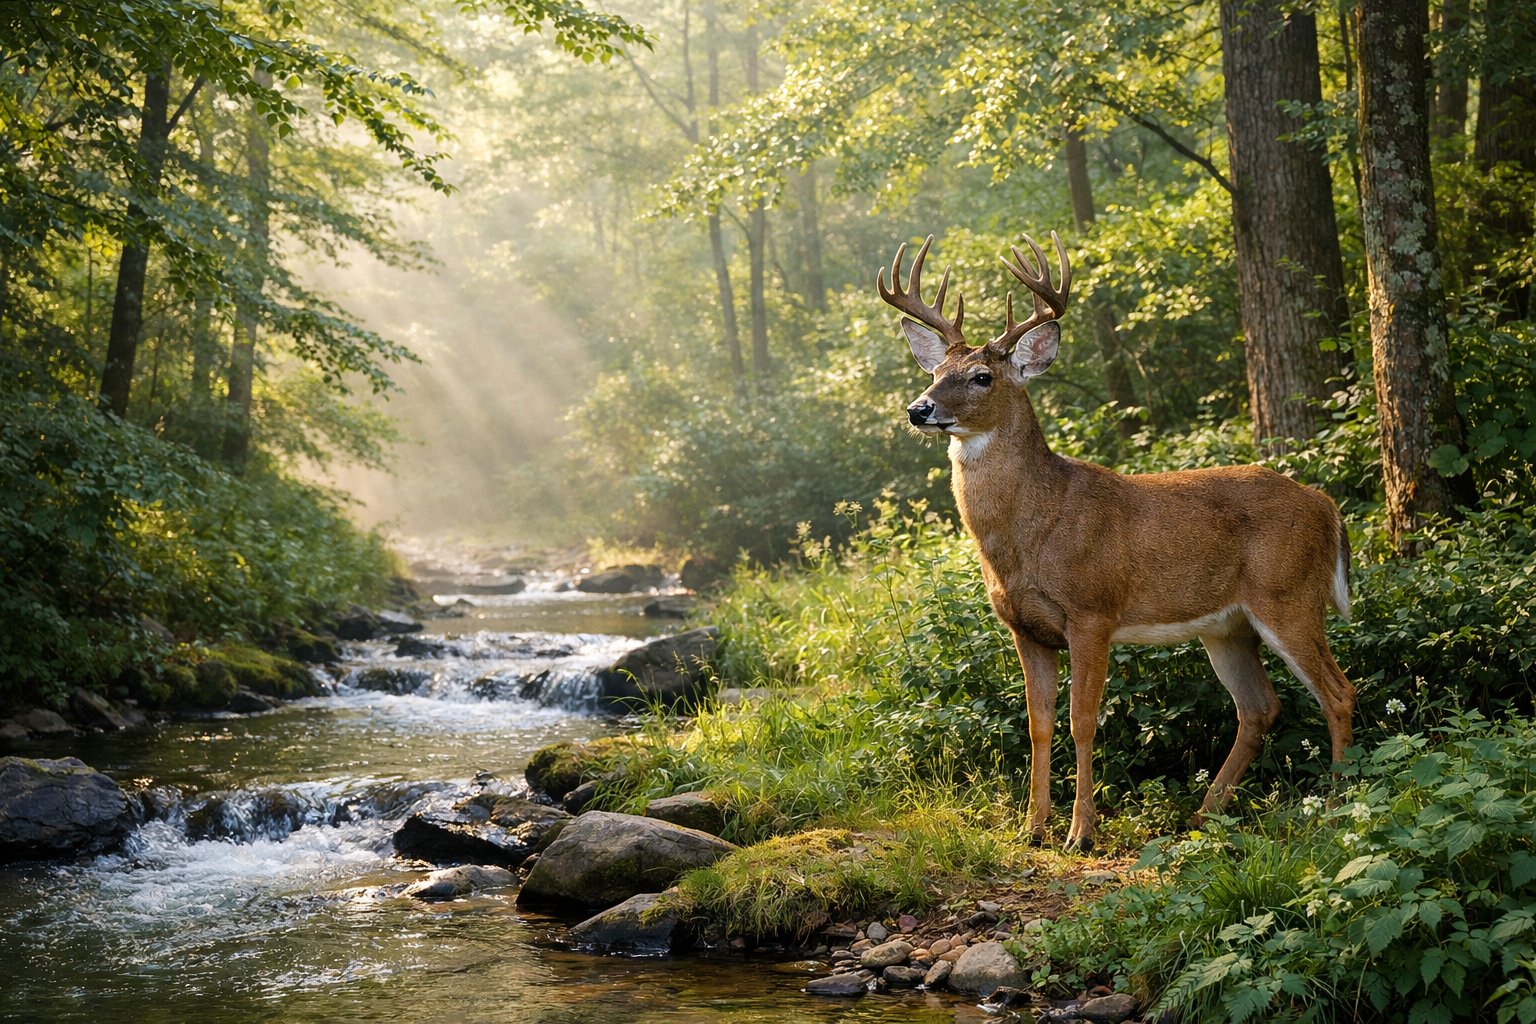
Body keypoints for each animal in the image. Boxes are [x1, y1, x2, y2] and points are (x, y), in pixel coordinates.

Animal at [877, 230, 1356, 851]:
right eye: (938, 371)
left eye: (982, 375)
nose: (920, 408)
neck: (1031, 533)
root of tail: (1327, 506)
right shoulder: (1024, 627)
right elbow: (1036, 723)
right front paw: (1032, 828)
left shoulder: (1092, 612)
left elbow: (1082, 719)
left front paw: (1081, 832)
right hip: (1228, 626)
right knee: (1260, 707)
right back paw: (1205, 814)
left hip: (1289, 594)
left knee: (1337, 692)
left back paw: (1340, 805)